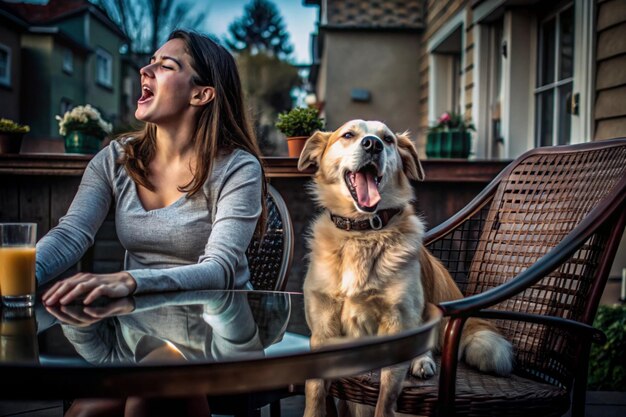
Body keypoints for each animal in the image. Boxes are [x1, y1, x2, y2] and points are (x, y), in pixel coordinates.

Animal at [294, 119, 510, 416]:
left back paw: (422, 362)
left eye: (388, 139)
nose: (373, 144)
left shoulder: (398, 325)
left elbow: (386, 398)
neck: (363, 233)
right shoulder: (324, 327)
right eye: (348, 135)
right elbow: (314, 394)